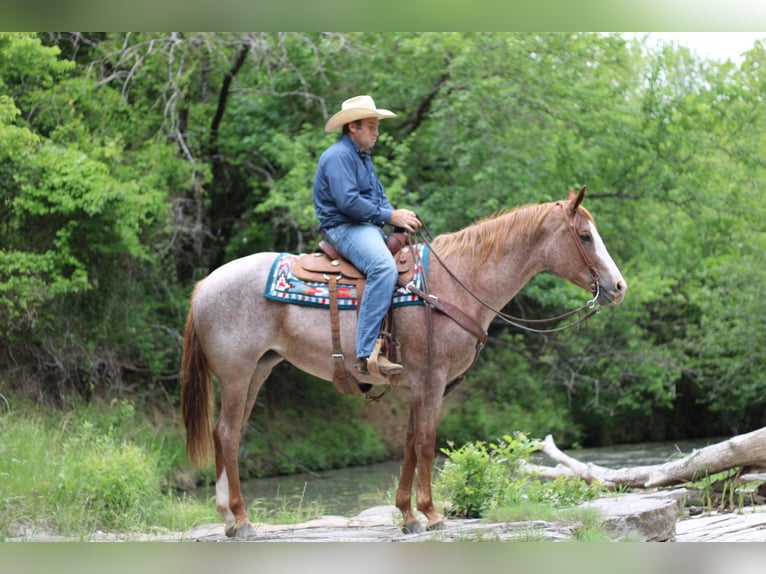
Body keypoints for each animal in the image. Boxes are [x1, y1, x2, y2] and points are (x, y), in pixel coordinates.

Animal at [183, 189, 628, 540]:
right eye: (585, 236)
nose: (619, 287)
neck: (455, 284)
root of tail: (205, 284)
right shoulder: (432, 380)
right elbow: (428, 443)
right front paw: (432, 513)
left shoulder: (418, 383)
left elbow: (411, 443)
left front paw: (408, 514)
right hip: (237, 373)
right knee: (227, 434)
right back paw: (241, 520)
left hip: (258, 370)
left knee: (228, 433)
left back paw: (228, 517)